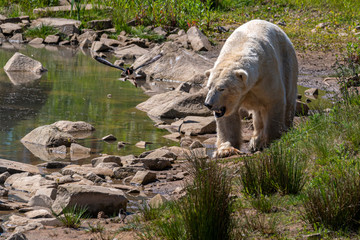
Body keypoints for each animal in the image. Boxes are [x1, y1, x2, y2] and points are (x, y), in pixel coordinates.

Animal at [205, 19, 298, 158]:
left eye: (221, 89)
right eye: (209, 87)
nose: (208, 104)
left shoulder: (267, 75)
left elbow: (274, 102)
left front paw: (271, 141)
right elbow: (227, 118)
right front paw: (226, 150)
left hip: (288, 60)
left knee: (289, 99)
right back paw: (256, 140)